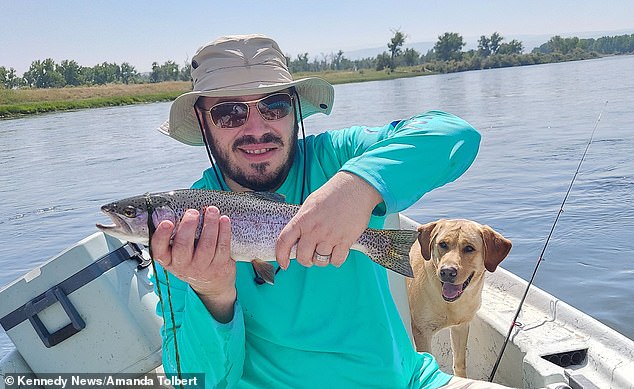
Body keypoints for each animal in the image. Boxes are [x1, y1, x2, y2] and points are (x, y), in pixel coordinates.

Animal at [404, 218, 508, 376]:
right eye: (443, 244)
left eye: (469, 248)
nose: (447, 271)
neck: (450, 304)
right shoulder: (422, 332)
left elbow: (459, 363)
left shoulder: (461, 327)